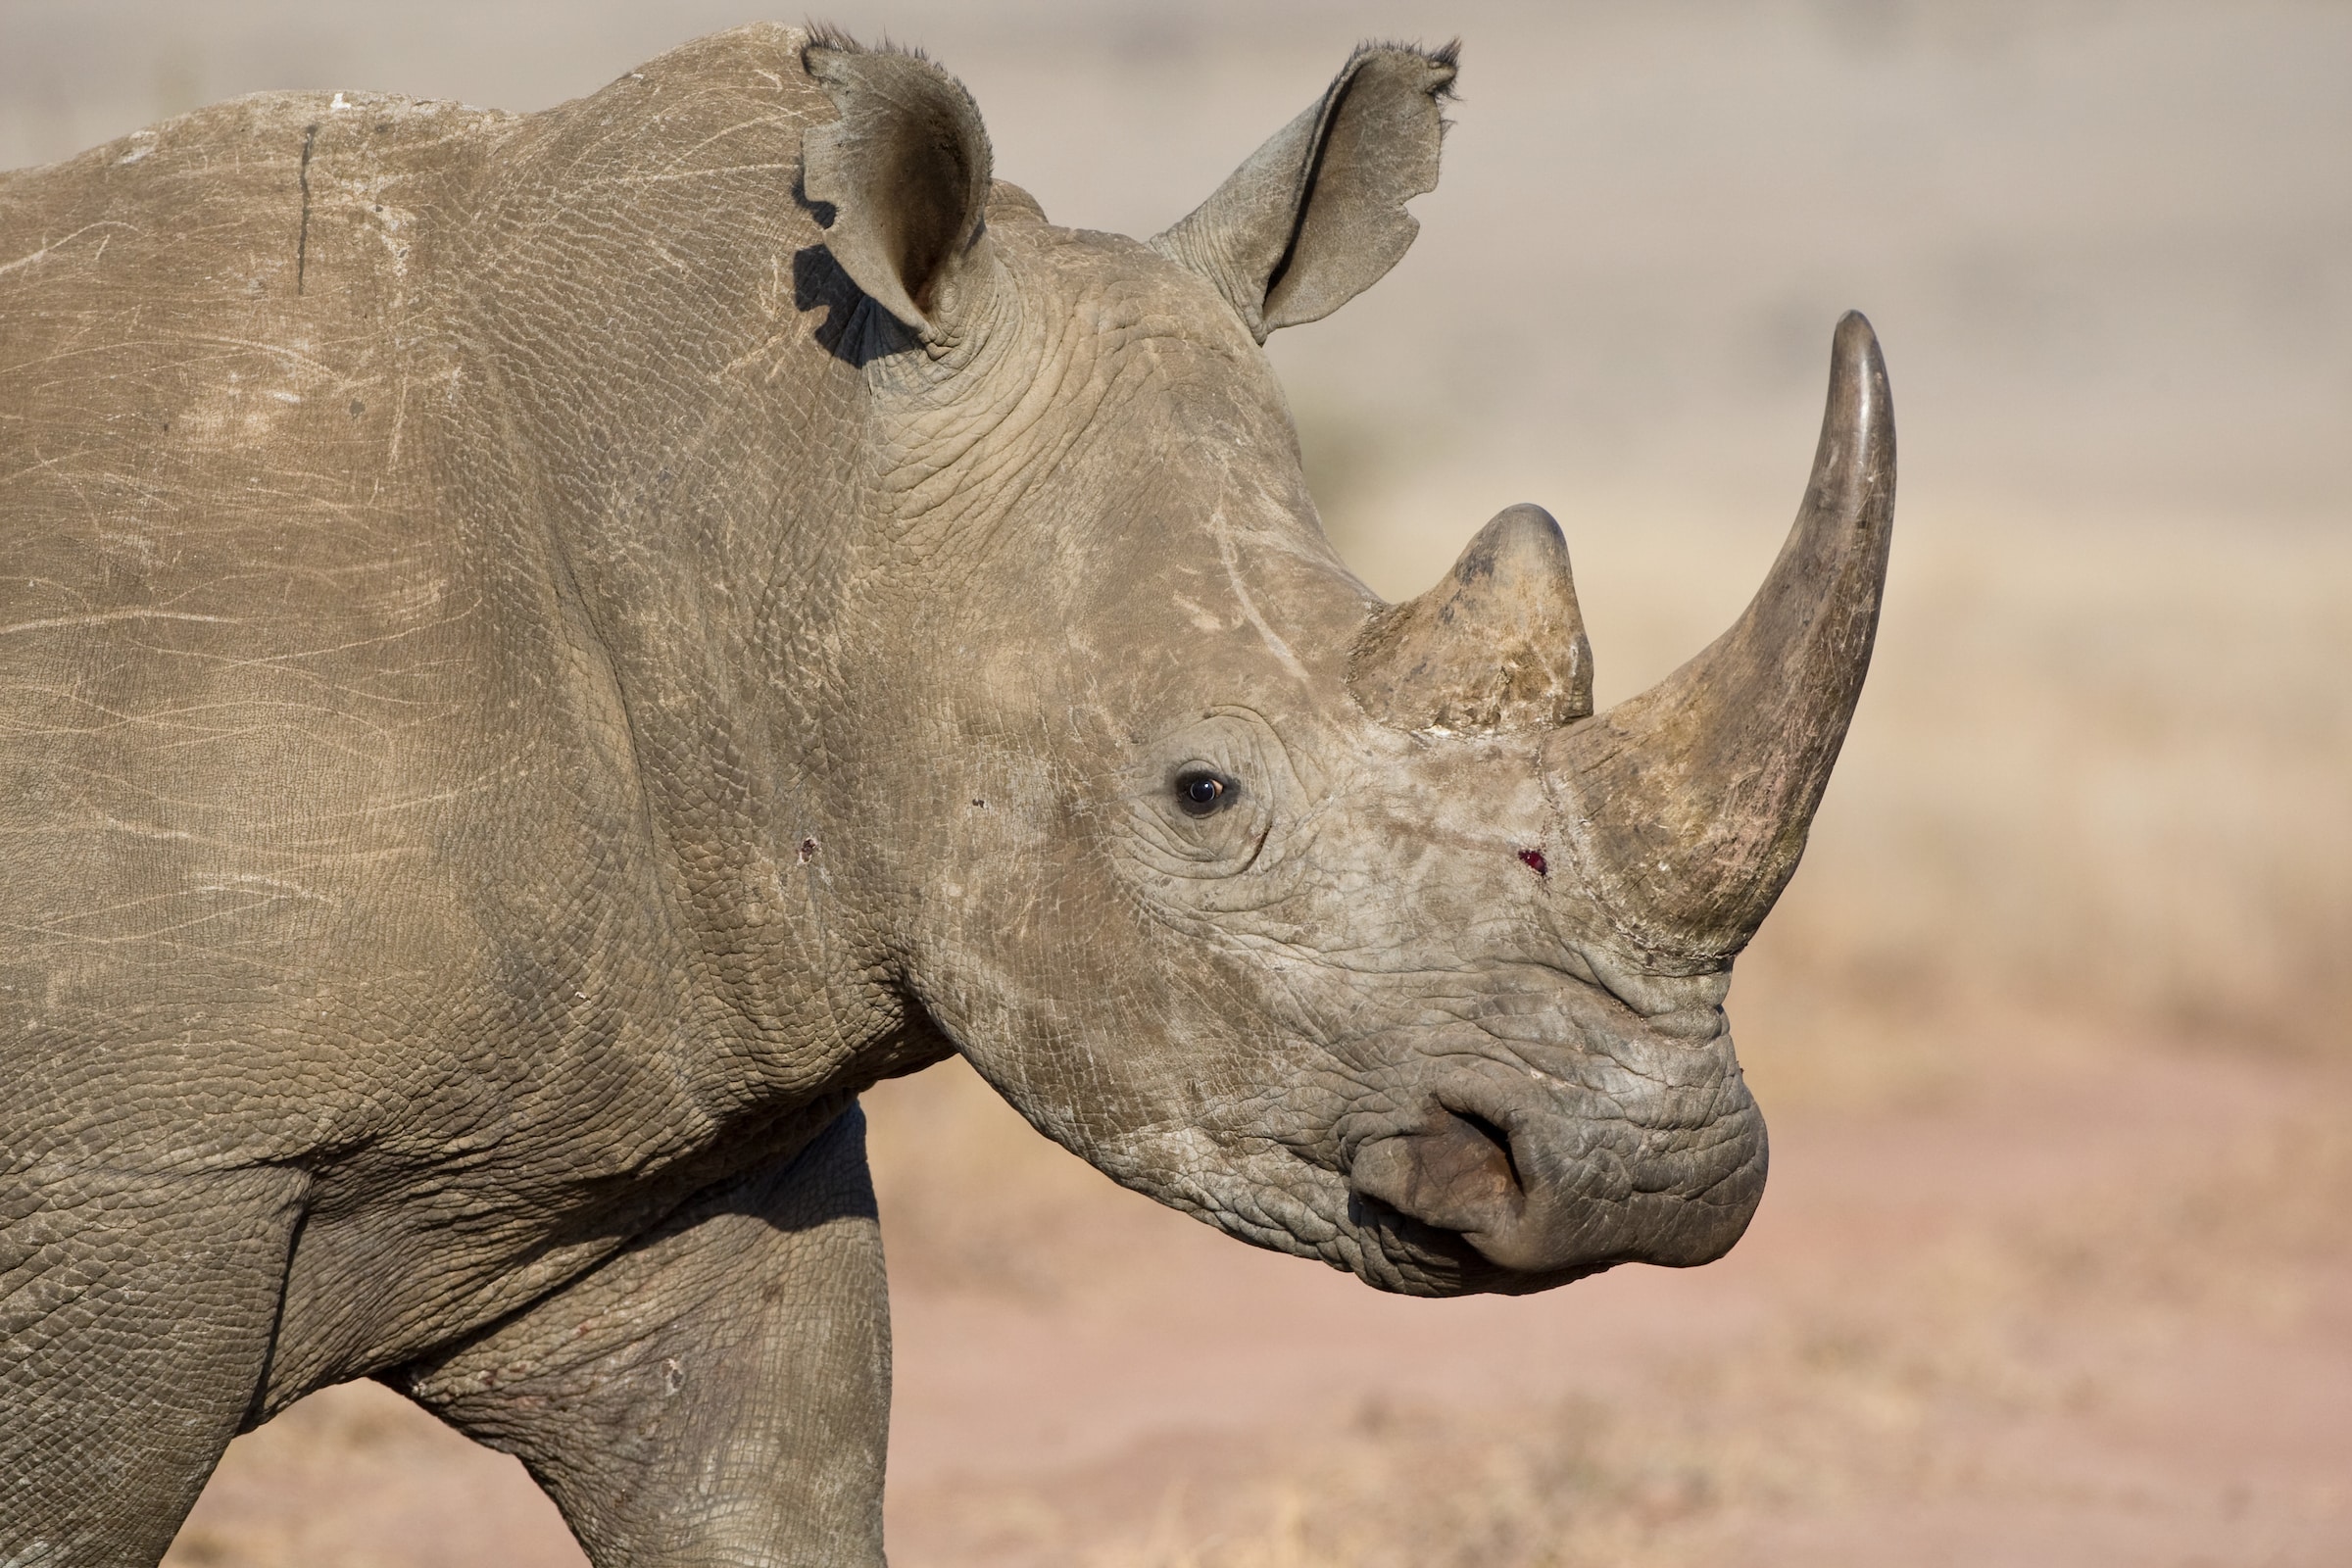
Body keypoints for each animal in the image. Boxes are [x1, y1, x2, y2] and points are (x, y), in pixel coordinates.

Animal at [0, 23, 1894, 1566]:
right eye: (1203, 791)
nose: (1652, 1179)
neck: (767, 495)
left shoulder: (673, 1115)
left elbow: (769, 1493)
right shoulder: (134, 1186)